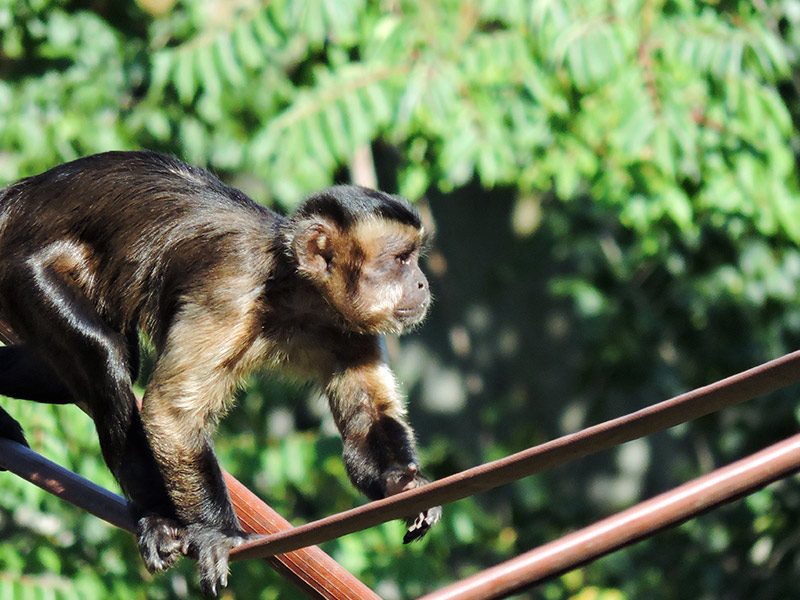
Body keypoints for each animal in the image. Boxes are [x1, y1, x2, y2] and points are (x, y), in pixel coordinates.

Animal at [0, 151, 440, 596]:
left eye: (413, 258)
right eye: (400, 260)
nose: (422, 282)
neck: (295, 290)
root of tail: (16, 199)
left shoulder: (348, 327)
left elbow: (366, 419)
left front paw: (402, 484)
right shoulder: (232, 292)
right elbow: (170, 412)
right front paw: (218, 533)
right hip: (24, 271)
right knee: (105, 357)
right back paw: (156, 519)